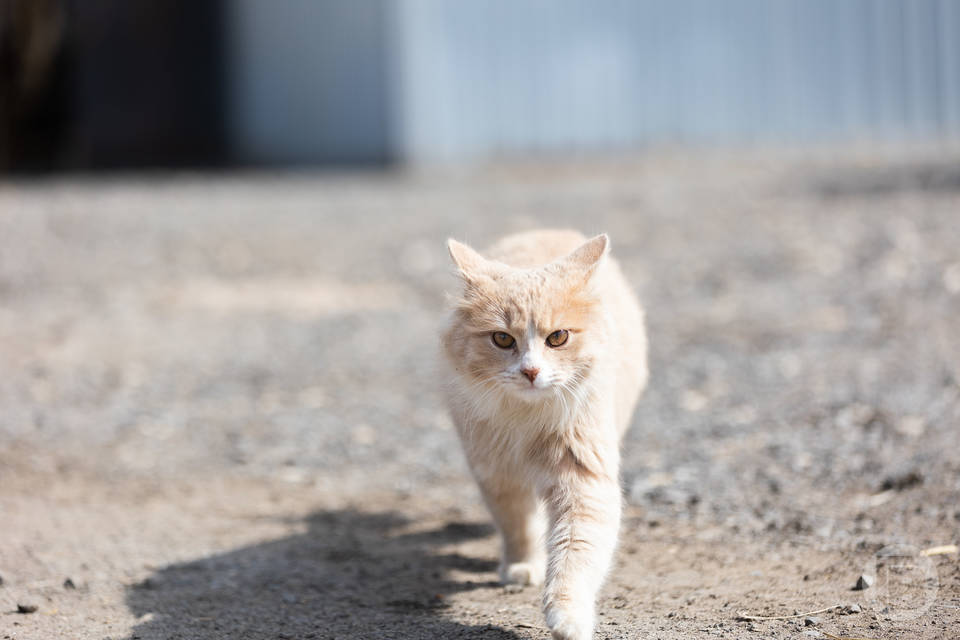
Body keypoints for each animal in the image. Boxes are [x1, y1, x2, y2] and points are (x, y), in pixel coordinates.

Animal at [440, 230, 648, 640]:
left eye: (559, 337)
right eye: (503, 340)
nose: (531, 371)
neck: (526, 422)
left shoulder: (583, 478)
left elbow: (575, 552)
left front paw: (568, 617)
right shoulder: (497, 473)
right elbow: (517, 526)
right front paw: (522, 567)